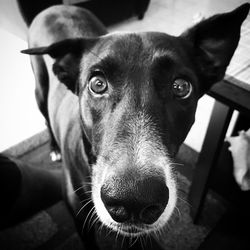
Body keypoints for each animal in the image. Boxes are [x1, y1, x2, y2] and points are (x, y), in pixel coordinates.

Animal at [22, 2, 249, 249]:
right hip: (39, 91)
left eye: (181, 87)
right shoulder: (82, 223)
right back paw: (53, 148)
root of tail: (54, 7)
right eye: (97, 83)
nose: (134, 198)